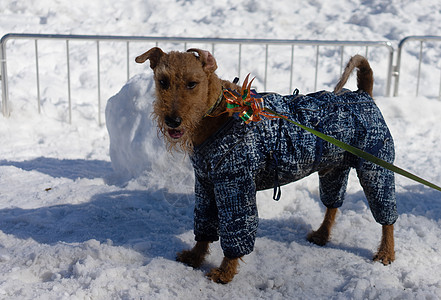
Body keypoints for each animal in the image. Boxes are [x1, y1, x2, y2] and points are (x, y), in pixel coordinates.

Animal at [135, 47, 396, 284]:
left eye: (192, 83)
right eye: (162, 81)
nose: (172, 120)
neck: (220, 115)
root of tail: (363, 94)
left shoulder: (236, 186)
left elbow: (236, 235)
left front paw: (224, 273)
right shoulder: (207, 185)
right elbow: (204, 230)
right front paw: (194, 257)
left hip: (376, 168)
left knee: (387, 218)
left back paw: (386, 253)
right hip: (334, 169)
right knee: (333, 206)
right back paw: (322, 235)